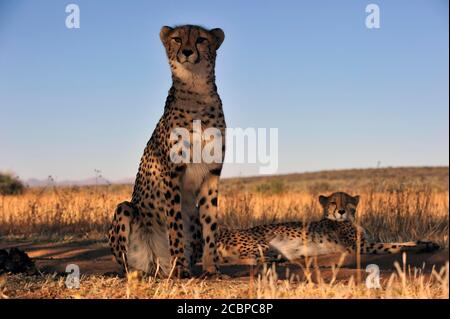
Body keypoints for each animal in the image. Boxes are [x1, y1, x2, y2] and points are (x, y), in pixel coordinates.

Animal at [107, 25, 227, 278]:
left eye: (201, 39)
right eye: (178, 39)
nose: (188, 52)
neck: (197, 92)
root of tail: (157, 264)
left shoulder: (212, 173)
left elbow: (210, 224)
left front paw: (212, 268)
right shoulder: (172, 172)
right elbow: (175, 224)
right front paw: (180, 267)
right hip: (125, 209)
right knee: (128, 264)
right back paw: (144, 272)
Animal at [217, 192, 440, 264]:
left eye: (347, 202)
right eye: (333, 202)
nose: (341, 211)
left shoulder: (365, 242)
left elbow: (401, 241)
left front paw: (428, 242)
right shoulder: (359, 247)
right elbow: (394, 246)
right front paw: (422, 247)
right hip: (259, 244)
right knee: (250, 260)